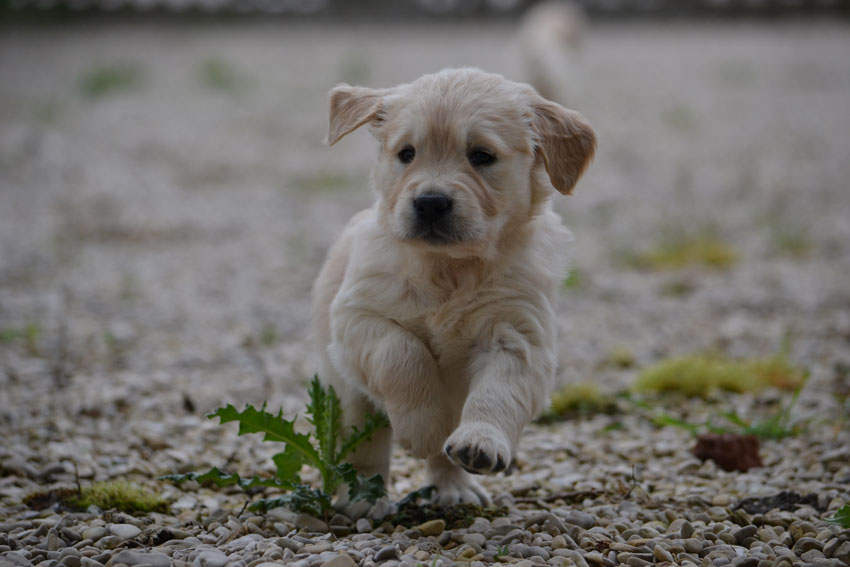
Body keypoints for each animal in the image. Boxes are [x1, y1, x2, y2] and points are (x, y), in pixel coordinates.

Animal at [312, 66, 596, 506]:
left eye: (481, 155)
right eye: (406, 153)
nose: (430, 202)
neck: (450, 269)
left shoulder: (519, 336)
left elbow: (498, 393)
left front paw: (480, 441)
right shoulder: (357, 317)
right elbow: (402, 352)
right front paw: (423, 425)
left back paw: (455, 488)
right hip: (348, 397)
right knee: (364, 451)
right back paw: (363, 498)